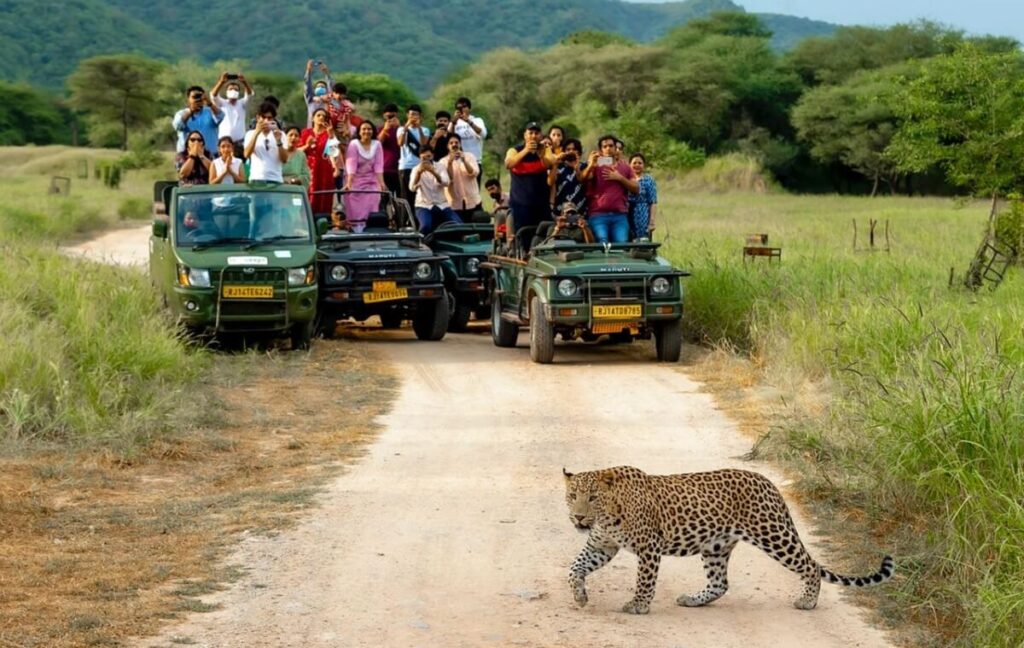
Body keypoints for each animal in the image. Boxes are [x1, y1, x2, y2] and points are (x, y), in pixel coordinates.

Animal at [564, 466, 894, 615]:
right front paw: (580, 596)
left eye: (592, 498)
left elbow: (645, 580)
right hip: (716, 546)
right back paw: (693, 599)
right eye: (572, 496)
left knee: (810, 565)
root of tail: (769, 483)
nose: (578, 517)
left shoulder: (649, 547)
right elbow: (574, 568)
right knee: (720, 583)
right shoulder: (601, 546)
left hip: (773, 535)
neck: (608, 514)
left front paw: (638, 605)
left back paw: (808, 601)